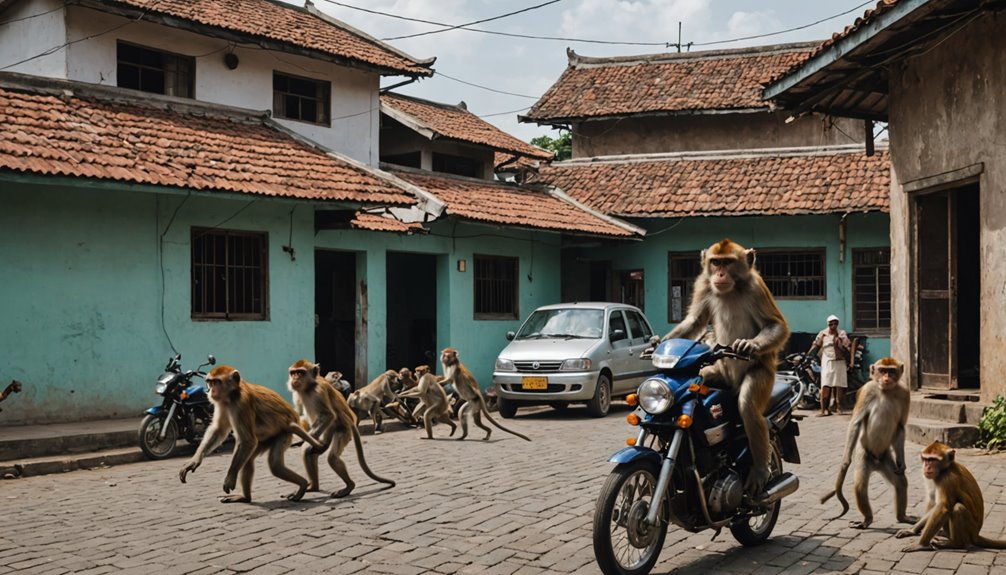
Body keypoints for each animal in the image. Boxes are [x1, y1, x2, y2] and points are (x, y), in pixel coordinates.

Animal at [178, 363, 321, 502]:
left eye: (217, 382)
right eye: (210, 382)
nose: (211, 391)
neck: (233, 394)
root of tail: (293, 419)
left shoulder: (241, 404)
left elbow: (247, 440)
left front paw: (229, 479)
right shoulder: (222, 403)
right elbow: (219, 429)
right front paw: (194, 461)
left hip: (284, 434)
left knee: (275, 465)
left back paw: (302, 484)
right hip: (266, 440)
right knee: (248, 460)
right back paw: (244, 497)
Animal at [285, 359, 394, 498]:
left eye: (300, 372)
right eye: (293, 373)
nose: (295, 378)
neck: (309, 387)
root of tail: (351, 420)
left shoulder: (318, 392)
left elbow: (328, 415)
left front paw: (306, 440)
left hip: (344, 430)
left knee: (332, 457)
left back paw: (349, 486)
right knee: (311, 452)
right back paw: (314, 486)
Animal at [663, 238, 788, 494]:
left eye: (728, 263)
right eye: (715, 262)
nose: (720, 273)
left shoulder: (756, 287)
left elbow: (776, 325)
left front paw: (749, 345)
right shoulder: (703, 284)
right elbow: (695, 321)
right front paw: (655, 345)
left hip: (763, 377)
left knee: (748, 406)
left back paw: (761, 472)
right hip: (720, 374)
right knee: (707, 374)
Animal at [820, 357, 917, 526]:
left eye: (891, 371)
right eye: (882, 370)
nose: (886, 378)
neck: (885, 391)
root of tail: (876, 463)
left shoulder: (905, 393)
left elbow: (900, 427)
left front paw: (902, 462)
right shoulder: (867, 391)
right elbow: (856, 423)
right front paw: (845, 462)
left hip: (885, 459)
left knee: (900, 483)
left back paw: (902, 517)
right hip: (864, 455)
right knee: (860, 487)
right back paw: (867, 519)